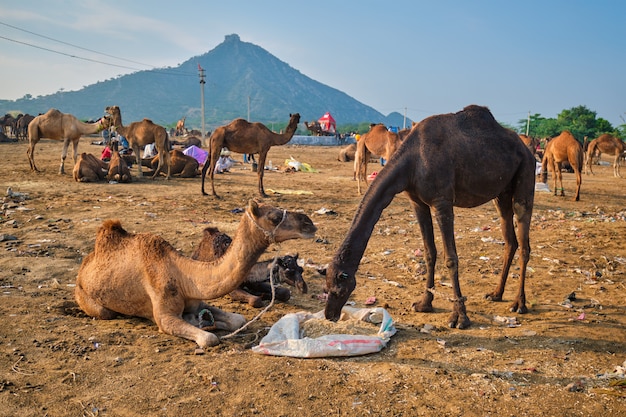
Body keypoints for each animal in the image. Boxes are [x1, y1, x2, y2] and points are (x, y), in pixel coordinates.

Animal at [74, 200, 316, 346]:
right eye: (274, 217)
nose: (309, 223)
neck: (183, 276)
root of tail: (84, 265)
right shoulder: (164, 316)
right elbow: (209, 339)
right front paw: (204, 326)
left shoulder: (199, 300)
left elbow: (237, 319)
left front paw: (205, 321)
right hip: (86, 297)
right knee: (105, 312)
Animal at [324, 105, 532, 330]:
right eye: (326, 287)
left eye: (339, 290)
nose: (330, 315)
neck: (412, 160)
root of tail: (527, 149)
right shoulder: (418, 202)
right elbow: (429, 252)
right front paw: (424, 303)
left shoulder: (442, 202)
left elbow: (451, 258)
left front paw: (460, 317)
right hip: (502, 193)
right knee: (510, 239)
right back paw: (496, 294)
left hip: (525, 174)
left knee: (524, 241)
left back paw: (519, 304)